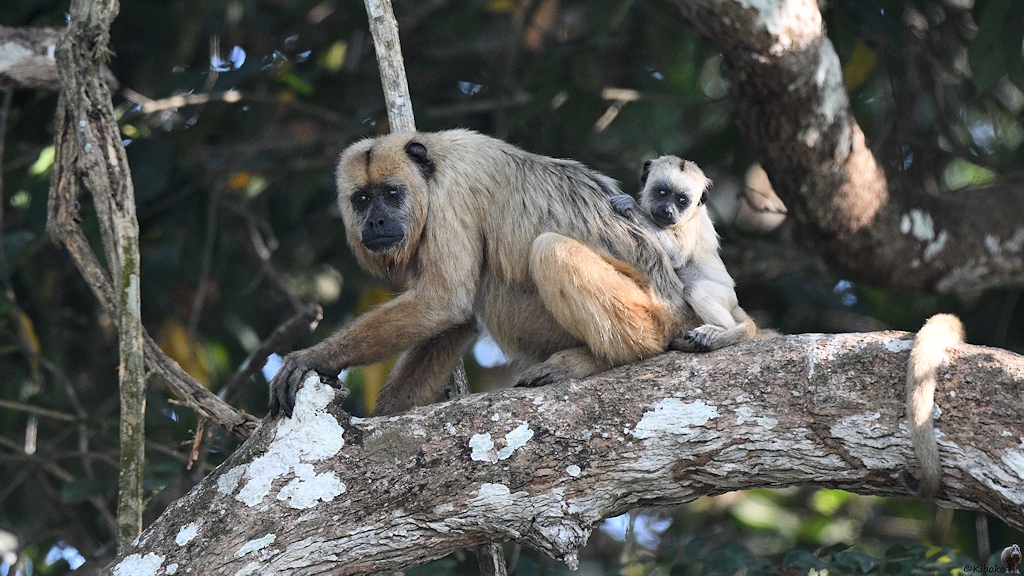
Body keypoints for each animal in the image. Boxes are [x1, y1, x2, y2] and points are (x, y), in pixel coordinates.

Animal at [269, 129, 722, 417]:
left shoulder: (450, 197)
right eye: (362, 199)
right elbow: (452, 318)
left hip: (652, 315)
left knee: (549, 251)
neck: (431, 164)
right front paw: (386, 415)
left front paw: (312, 358)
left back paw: (597, 360)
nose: (376, 223)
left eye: (391, 194)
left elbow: (445, 301)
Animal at [609, 156, 757, 352]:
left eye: (681, 200)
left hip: (727, 297)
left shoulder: (692, 224)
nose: (667, 210)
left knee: (694, 288)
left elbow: (676, 255)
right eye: (662, 193)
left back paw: (719, 328)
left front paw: (631, 205)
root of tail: (735, 303)